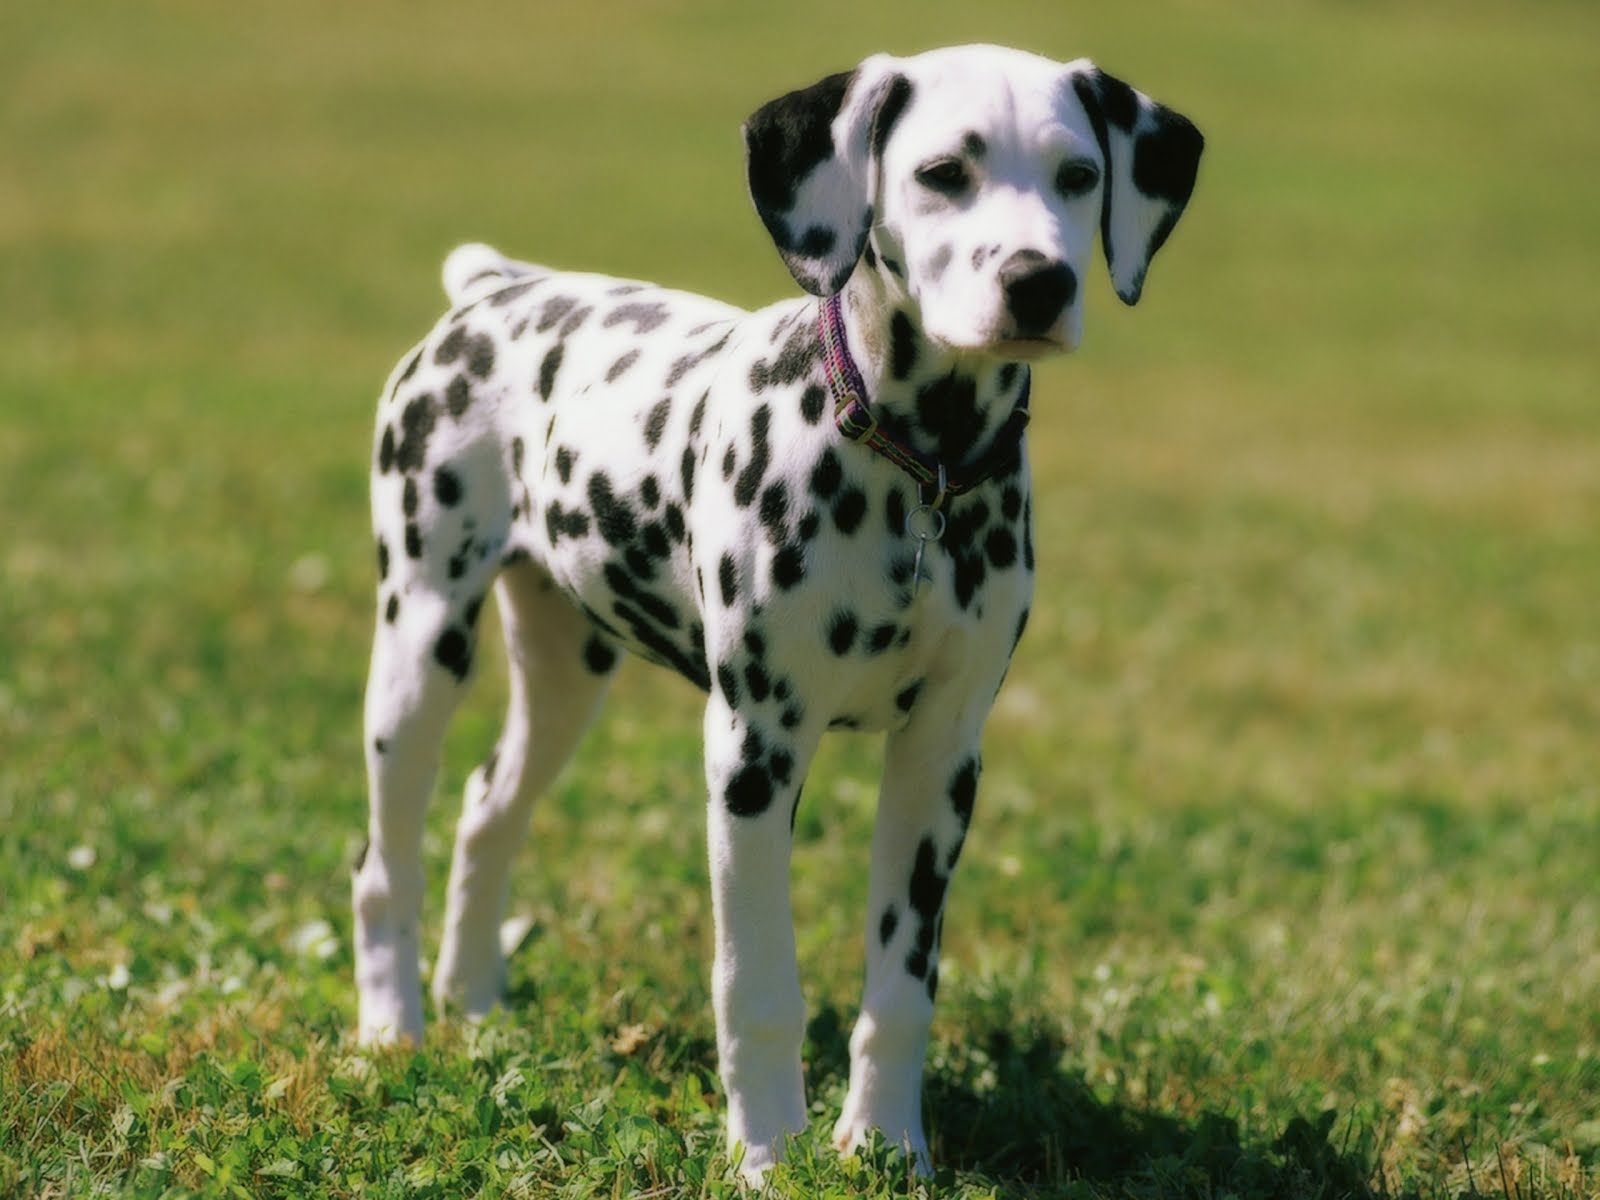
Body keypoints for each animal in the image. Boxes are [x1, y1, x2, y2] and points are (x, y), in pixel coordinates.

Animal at [353, 44, 1203, 1184]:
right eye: (942, 172)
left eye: (1078, 176)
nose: (1040, 282)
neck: (912, 466)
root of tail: (496, 289)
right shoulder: (753, 753)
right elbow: (755, 986)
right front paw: (765, 1156)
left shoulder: (941, 763)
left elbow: (902, 987)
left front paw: (884, 1145)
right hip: (421, 643)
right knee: (382, 860)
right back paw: (391, 1028)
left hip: (568, 671)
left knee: (490, 805)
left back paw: (474, 1003)